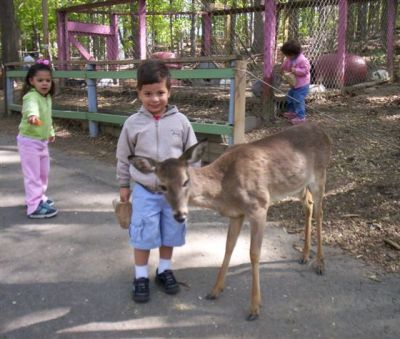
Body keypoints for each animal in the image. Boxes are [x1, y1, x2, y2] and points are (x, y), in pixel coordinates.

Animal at [129, 123, 332, 322]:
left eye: (186, 181)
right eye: (162, 186)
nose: (180, 215)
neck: (224, 189)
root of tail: (323, 132)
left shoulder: (259, 206)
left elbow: (254, 253)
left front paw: (254, 307)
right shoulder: (236, 214)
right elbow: (228, 247)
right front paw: (215, 290)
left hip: (320, 175)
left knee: (320, 211)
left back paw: (320, 264)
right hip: (297, 185)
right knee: (309, 204)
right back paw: (304, 255)